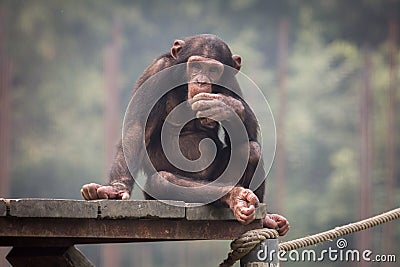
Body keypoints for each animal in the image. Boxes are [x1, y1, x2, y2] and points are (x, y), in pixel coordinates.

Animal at [80, 34, 288, 236]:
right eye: (196, 66)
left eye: (213, 69)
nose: (202, 81)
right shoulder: (156, 72)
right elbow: (136, 127)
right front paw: (116, 188)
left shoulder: (230, 81)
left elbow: (246, 134)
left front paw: (227, 106)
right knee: (162, 181)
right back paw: (234, 196)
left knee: (251, 149)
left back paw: (264, 216)